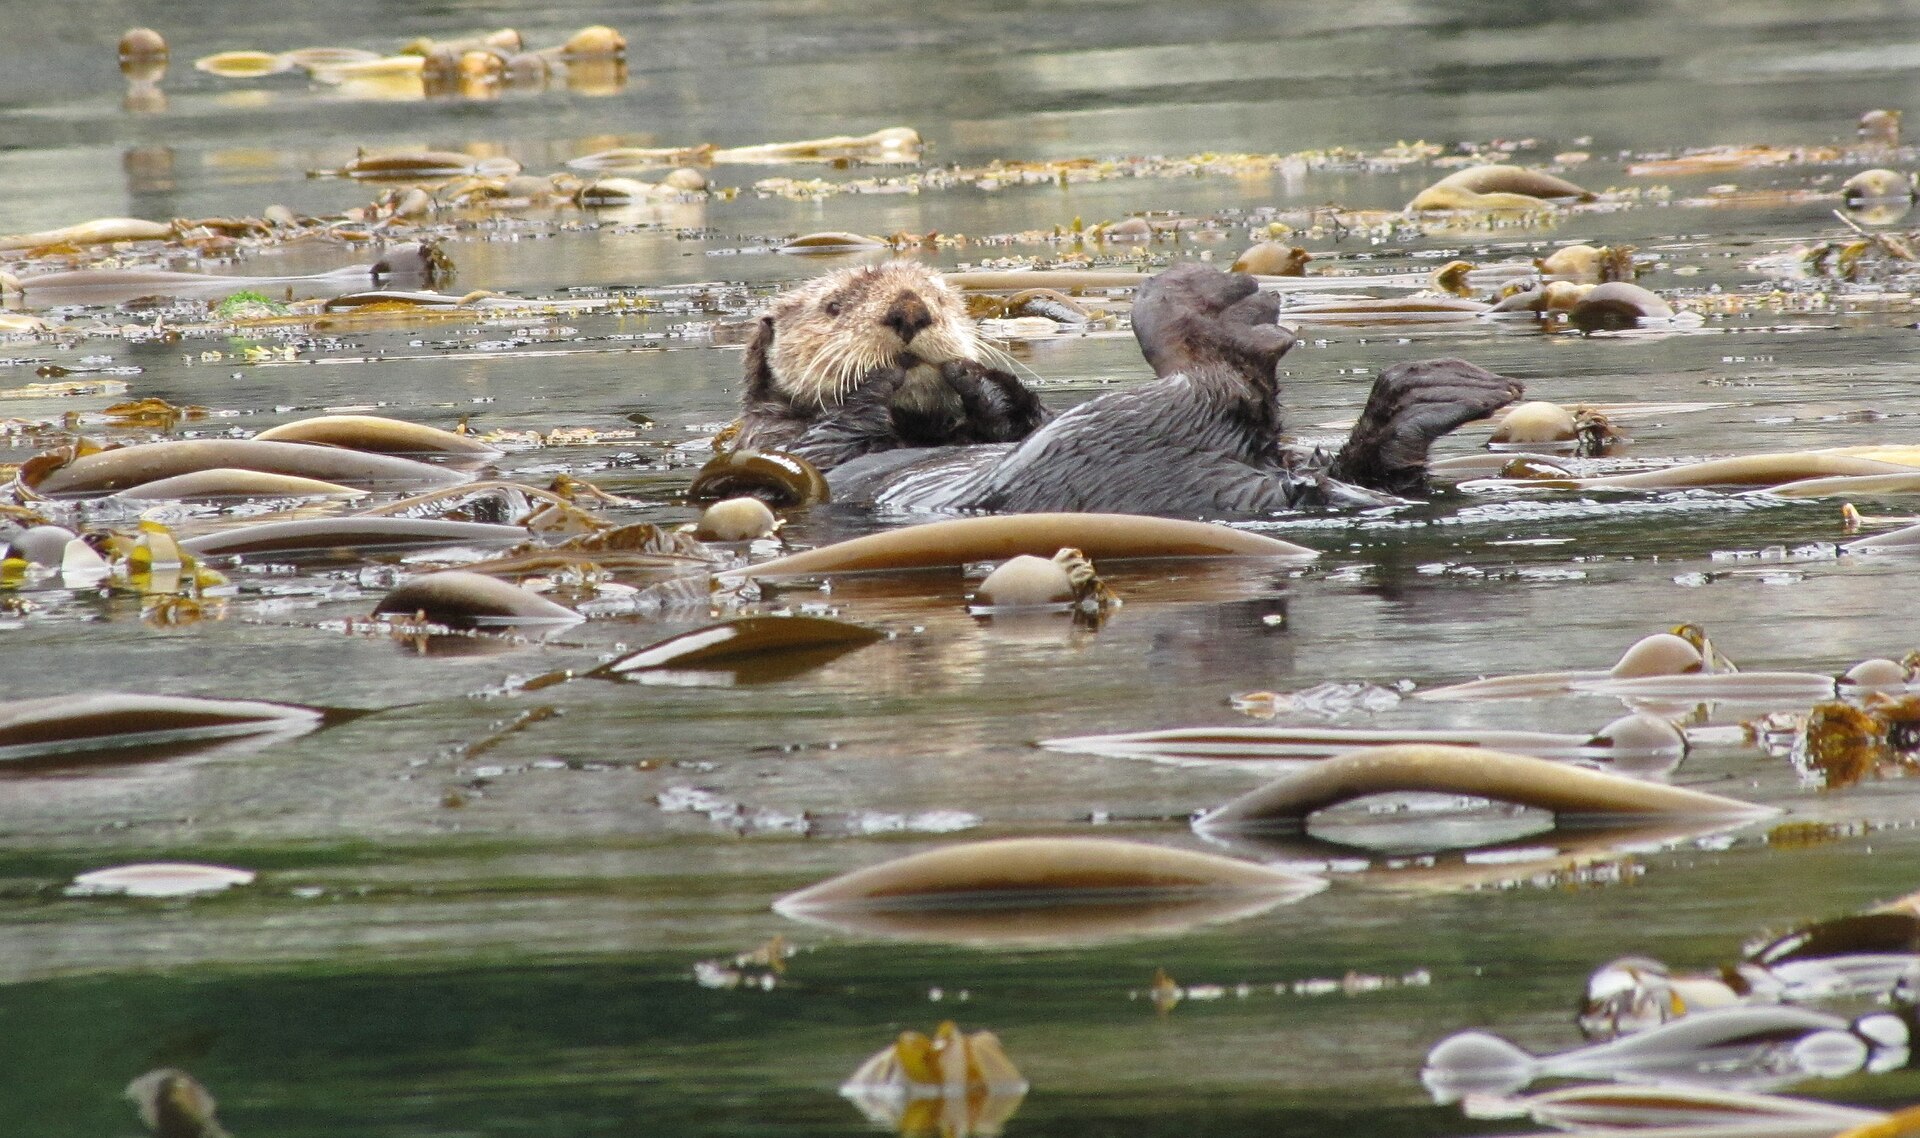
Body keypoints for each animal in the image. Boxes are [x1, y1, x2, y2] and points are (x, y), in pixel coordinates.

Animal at [734, 261, 1051, 468]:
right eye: (833, 307)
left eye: (940, 299)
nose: (910, 311)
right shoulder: (769, 438)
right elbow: (814, 451)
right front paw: (877, 382)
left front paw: (976, 376)